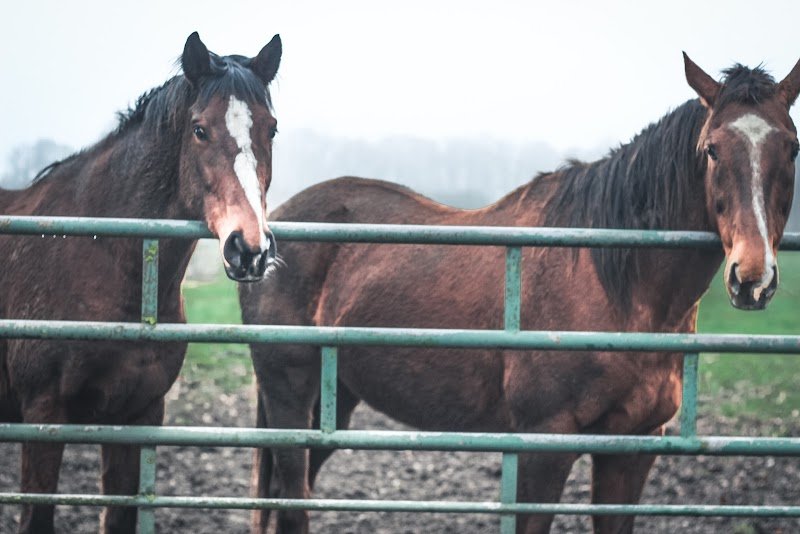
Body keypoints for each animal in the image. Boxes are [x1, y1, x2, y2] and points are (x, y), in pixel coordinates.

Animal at [239, 54, 800, 534]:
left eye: (792, 147)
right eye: (712, 149)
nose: (752, 275)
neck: (617, 287)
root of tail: (266, 231)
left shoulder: (631, 449)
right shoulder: (542, 443)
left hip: (333, 402)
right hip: (289, 396)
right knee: (293, 505)